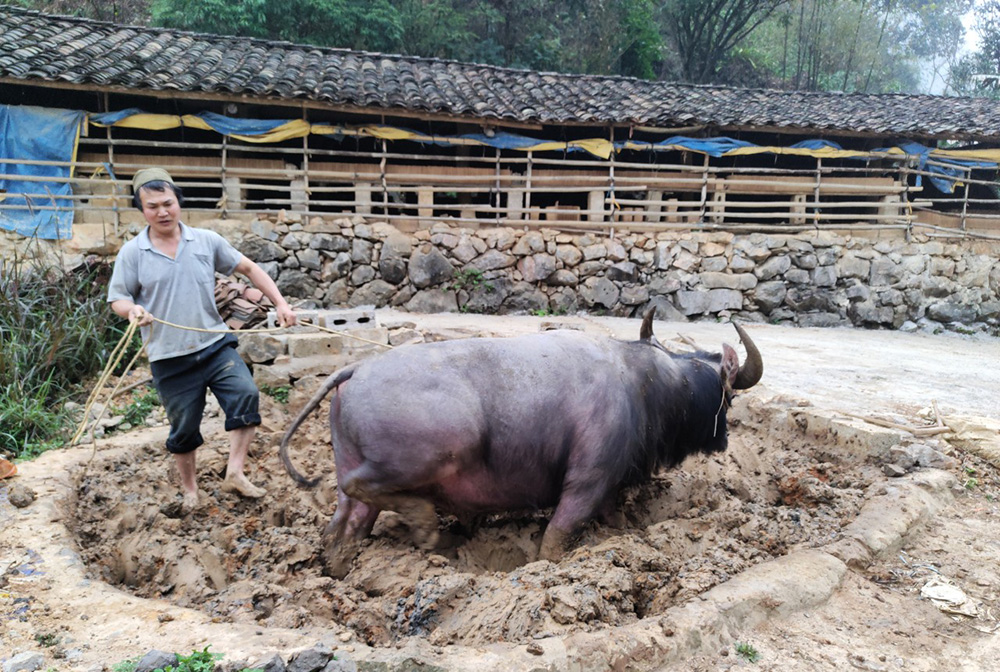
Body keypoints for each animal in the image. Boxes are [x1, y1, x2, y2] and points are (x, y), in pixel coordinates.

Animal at [282, 312, 764, 576]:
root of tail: (355, 371)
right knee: (363, 487)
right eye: (729, 397)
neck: (646, 384)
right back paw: (426, 527)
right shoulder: (587, 481)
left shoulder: (610, 484)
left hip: (349, 473)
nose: (724, 439)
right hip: (439, 448)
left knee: (344, 523)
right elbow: (557, 536)